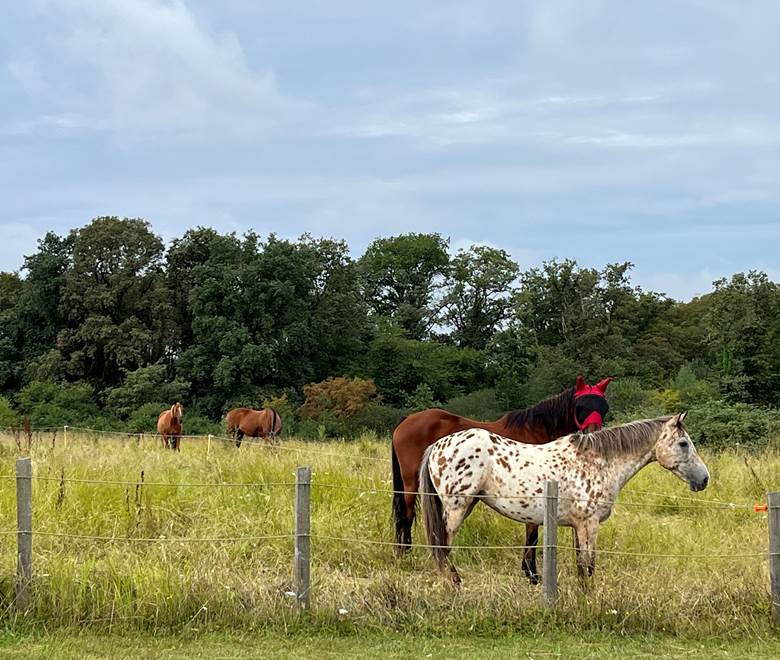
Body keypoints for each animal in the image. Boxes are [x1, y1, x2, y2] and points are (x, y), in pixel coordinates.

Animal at [391, 375, 612, 583]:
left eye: (604, 407)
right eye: (580, 406)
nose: (594, 434)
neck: (537, 430)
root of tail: (407, 419)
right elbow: (532, 533)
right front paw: (532, 574)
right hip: (411, 484)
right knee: (407, 517)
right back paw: (406, 555)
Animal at [420, 412, 709, 585]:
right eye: (683, 443)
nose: (704, 479)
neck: (598, 461)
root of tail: (437, 446)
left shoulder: (577, 527)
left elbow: (581, 566)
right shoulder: (589, 524)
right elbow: (588, 566)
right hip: (456, 508)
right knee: (443, 546)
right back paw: (454, 583)